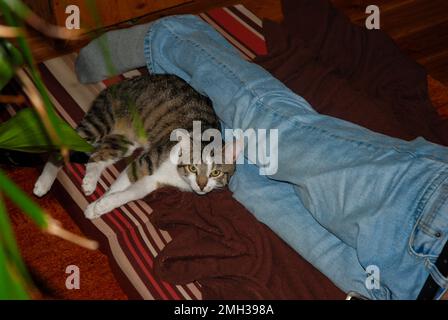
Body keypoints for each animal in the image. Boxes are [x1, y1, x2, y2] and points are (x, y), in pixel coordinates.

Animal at [34, 74, 242, 220]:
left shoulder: (154, 181)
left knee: (98, 156)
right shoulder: (145, 162)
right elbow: (121, 184)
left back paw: (89, 181)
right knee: (63, 146)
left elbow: (131, 193)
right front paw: (97, 206)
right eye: (192, 167)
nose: (201, 186)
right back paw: (43, 184)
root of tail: (120, 83)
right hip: (102, 120)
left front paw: (100, 206)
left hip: (124, 141)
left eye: (216, 173)